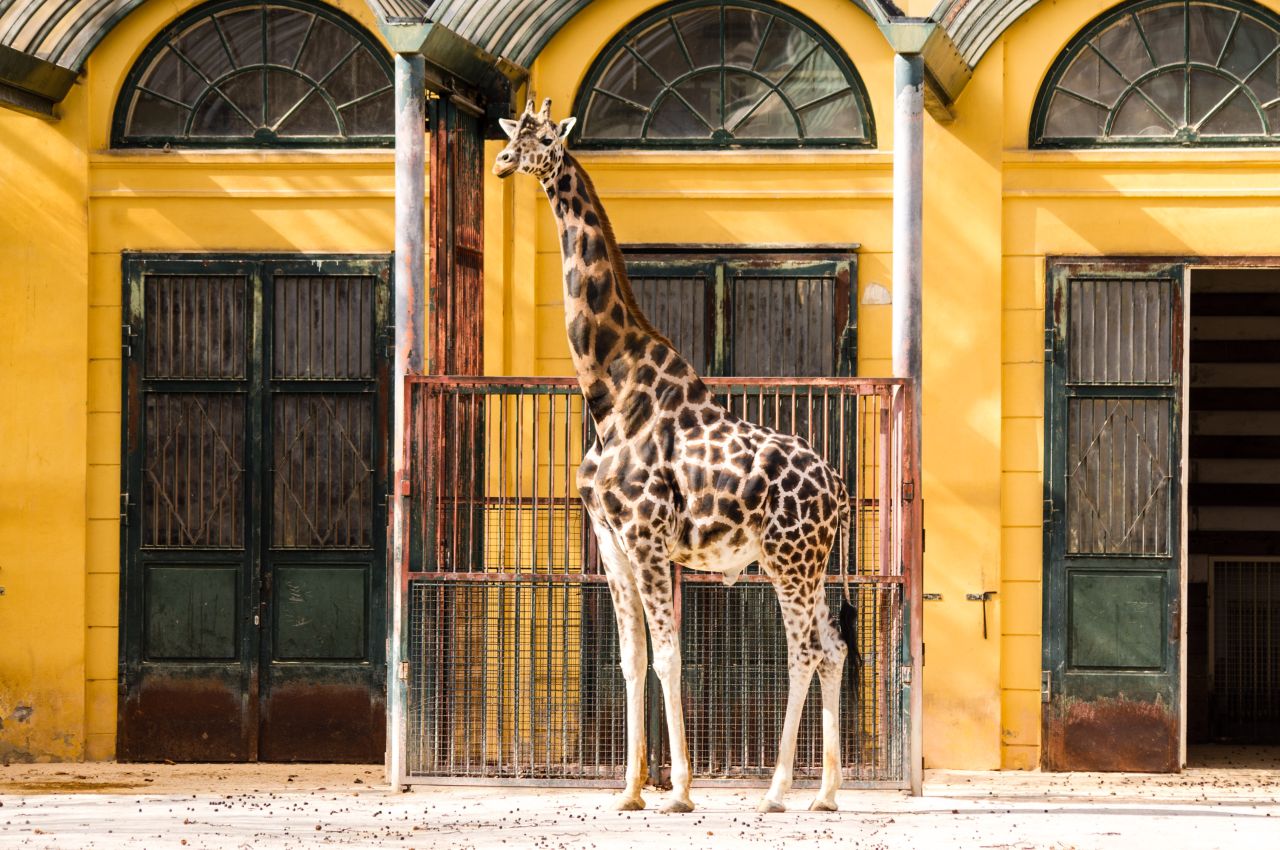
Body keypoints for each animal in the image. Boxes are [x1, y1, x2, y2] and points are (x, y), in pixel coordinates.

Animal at [493, 99, 858, 814]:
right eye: (513, 131)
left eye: (544, 136)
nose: (501, 161)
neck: (609, 392)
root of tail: (838, 489)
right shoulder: (610, 539)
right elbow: (632, 658)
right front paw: (629, 790)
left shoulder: (646, 536)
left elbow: (667, 656)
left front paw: (680, 790)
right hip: (813, 561)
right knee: (831, 647)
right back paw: (825, 794)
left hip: (787, 559)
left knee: (804, 649)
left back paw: (777, 790)